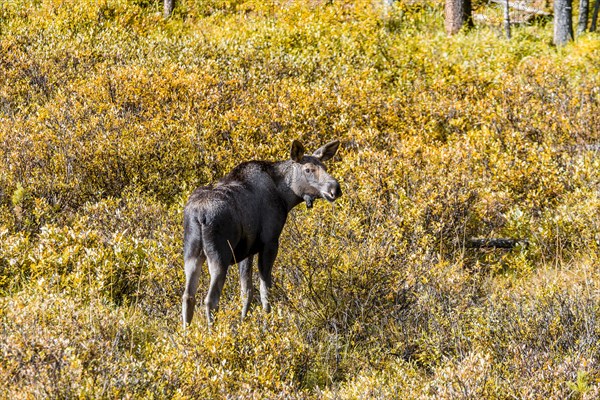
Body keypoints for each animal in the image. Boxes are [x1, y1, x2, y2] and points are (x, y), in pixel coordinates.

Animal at [182, 139, 342, 326]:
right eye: (308, 169)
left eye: (324, 166)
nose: (335, 188)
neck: (285, 196)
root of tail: (200, 215)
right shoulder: (269, 242)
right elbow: (265, 290)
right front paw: (268, 323)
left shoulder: (247, 251)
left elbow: (247, 292)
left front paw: (244, 321)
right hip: (219, 255)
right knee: (211, 299)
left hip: (192, 253)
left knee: (188, 296)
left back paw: (186, 332)